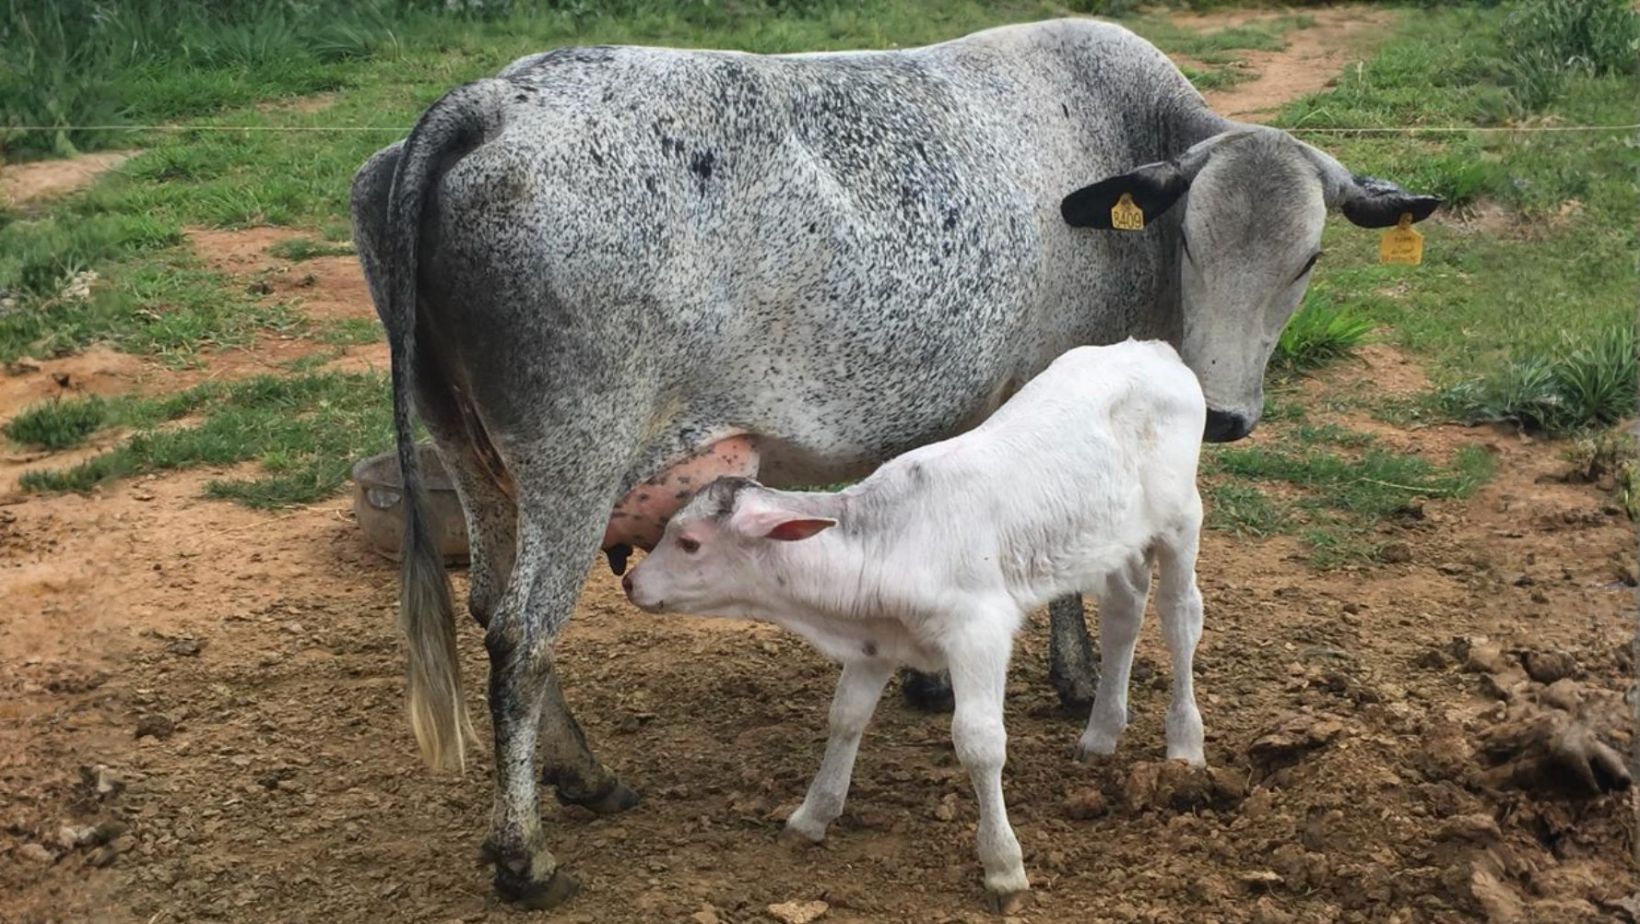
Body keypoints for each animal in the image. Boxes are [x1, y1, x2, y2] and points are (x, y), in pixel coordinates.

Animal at [623, 339, 1209, 911]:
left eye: (689, 542)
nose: (631, 583)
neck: (892, 540)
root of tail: (1153, 349)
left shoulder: (979, 630)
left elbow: (979, 741)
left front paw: (1003, 867)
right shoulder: (875, 642)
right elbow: (845, 718)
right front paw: (812, 815)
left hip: (1183, 519)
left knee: (1180, 615)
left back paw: (1185, 745)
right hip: (1114, 541)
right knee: (1122, 612)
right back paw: (1101, 731)